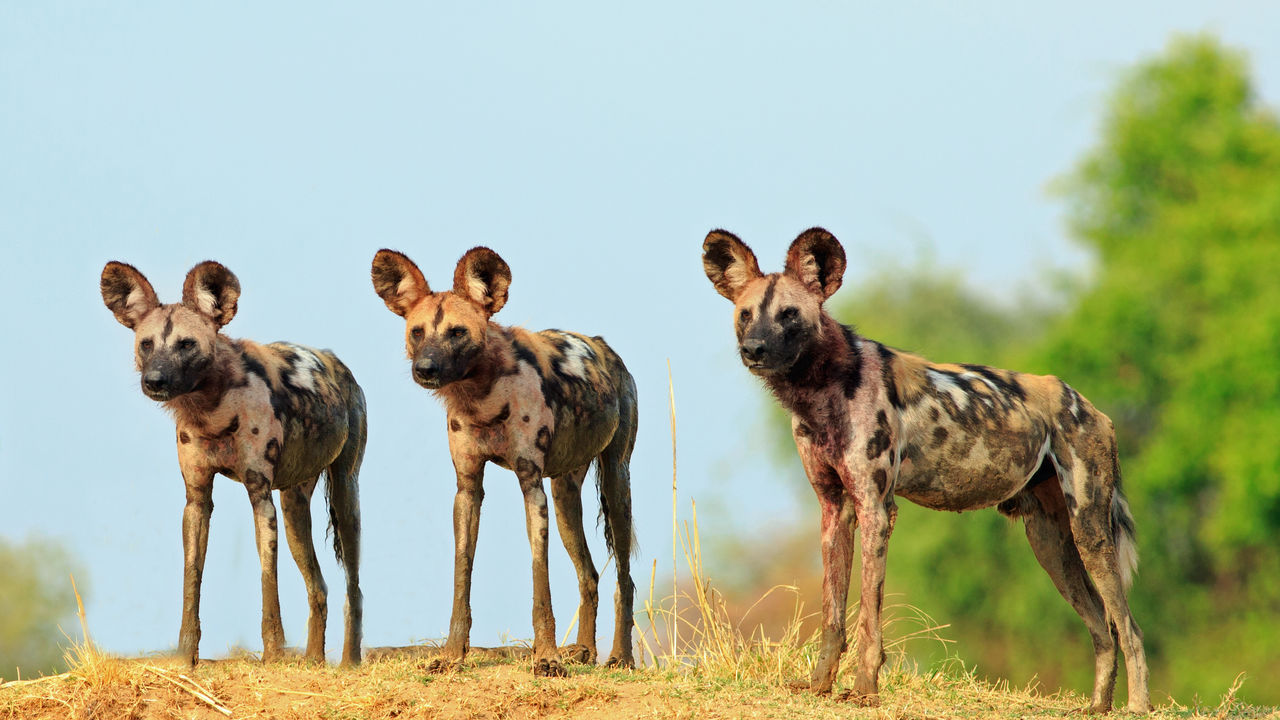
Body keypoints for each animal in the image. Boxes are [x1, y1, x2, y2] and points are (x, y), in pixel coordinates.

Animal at [99, 258, 366, 666]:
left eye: (186, 344)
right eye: (146, 344)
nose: (154, 381)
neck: (211, 411)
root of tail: (338, 362)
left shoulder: (260, 496)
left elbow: (267, 581)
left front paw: (273, 654)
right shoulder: (197, 501)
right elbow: (191, 578)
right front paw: (185, 656)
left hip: (344, 496)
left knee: (354, 587)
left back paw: (349, 662)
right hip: (294, 510)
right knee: (318, 587)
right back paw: (313, 662)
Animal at [373, 244, 637, 671]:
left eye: (457, 332)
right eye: (417, 332)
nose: (425, 368)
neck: (481, 399)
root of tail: (603, 346)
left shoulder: (531, 486)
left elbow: (540, 585)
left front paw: (546, 660)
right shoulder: (468, 490)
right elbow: (461, 576)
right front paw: (452, 656)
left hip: (616, 483)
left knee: (624, 578)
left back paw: (620, 657)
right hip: (565, 498)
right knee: (590, 575)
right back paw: (583, 651)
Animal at [706, 226, 1157, 707]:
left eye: (789, 315)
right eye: (746, 314)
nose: (753, 349)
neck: (820, 391)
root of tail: (1085, 402)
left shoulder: (876, 510)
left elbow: (868, 618)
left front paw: (864, 691)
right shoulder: (834, 509)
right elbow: (832, 615)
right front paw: (818, 686)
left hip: (1089, 531)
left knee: (1129, 628)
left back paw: (1135, 708)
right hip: (1051, 542)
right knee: (1103, 628)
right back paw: (1097, 708)